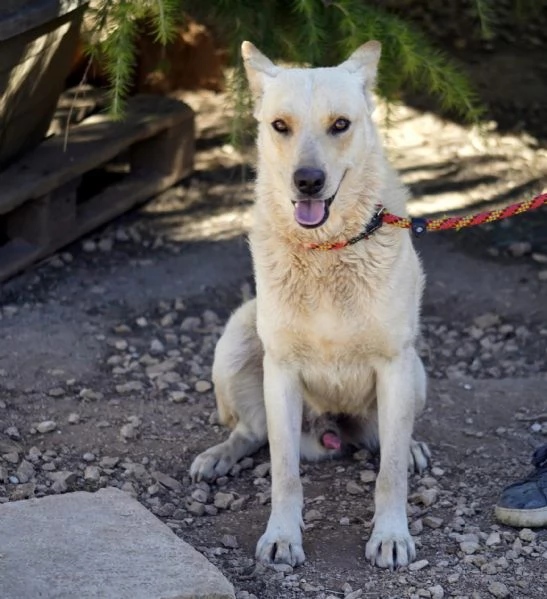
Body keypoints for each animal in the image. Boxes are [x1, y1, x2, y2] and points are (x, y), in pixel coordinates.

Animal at [191, 39, 430, 568]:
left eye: (340, 124)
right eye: (280, 126)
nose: (307, 181)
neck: (327, 251)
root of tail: (329, 429)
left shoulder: (395, 365)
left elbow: (390, 474)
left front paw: (391, 534)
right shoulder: (281, 370)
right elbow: (284, 472)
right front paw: (282, 536)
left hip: (417, 375)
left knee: (391, 440)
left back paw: (412, 448)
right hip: (235, 342)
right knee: (251, 432)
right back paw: (217, 456)